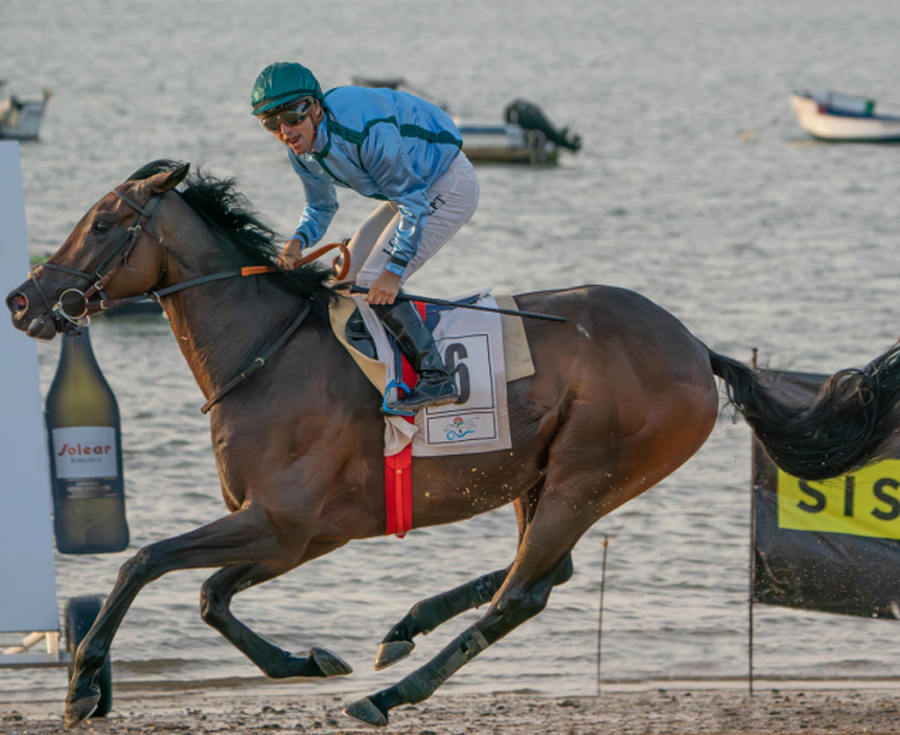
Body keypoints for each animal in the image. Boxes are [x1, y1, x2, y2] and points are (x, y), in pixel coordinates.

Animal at [7, 161, 900, 732]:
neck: (266, 352)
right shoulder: (301, 534)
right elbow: (209, 595)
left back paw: (393, 692)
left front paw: (83, 684)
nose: (23, 299)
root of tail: (695, 348)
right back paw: (404, 627)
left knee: (523, 592)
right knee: (544, 572)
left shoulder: (284, 522)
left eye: (105, 223)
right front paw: (312, 660)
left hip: (588, 473)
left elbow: (145, 561)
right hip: (544, 477)